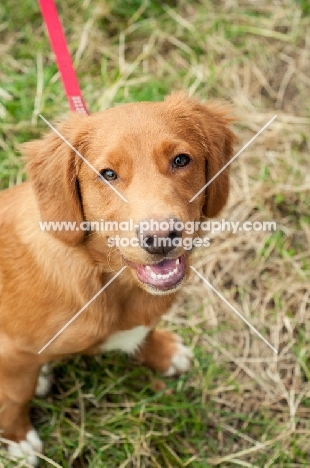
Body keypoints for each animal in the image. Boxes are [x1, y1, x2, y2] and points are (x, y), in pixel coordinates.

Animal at [0, 91, 235, 464]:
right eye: (108, 174)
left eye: (181, 160)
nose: (161, 237)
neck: (109, 279)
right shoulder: (10, 351)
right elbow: (13, 397)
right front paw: (16, 440)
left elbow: (145, 330)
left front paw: (163, 353)